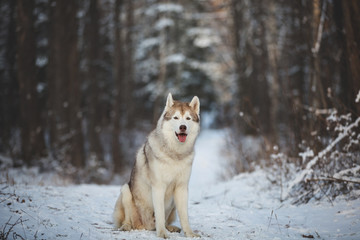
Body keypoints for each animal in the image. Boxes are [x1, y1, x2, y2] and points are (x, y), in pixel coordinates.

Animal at [113, 93, 200, 237]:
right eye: (176, 117)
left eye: (188, 118)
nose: (183, 127)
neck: (175, 154)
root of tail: (145, 227)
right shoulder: (159, 187)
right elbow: (159, 214)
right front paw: (162, 234)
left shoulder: (182, 188)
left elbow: (184, 216)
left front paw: (190, 233)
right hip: (125, 190)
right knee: (128, 220)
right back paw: (127, 226)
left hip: (173, 205)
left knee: (166, 221)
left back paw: (171, 227)